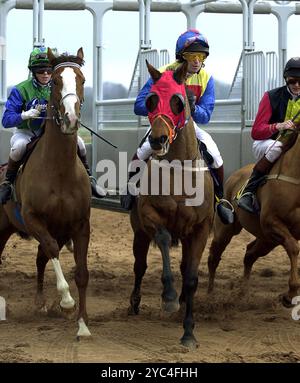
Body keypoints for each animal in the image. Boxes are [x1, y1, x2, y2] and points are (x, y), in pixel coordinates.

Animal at [0, 48, 91, 340]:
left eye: (82, 79)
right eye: (56, 81)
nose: (71, 119)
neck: (59, 171)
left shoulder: (78, 224)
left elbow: (81, 272)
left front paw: (82, 323)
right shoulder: (33, 219)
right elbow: (50, 250)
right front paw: (66, 301)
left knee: (41, 259)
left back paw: (40, 302)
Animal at [127, 60, 214, 352]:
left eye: (178, 101)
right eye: (151, 100)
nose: (157, 140)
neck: (179, 174)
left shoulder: (200, 229)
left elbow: (191, 277)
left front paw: (188, 332)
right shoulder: (149, 216)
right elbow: (164, 239)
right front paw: (168, 296)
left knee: (185, 268)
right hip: (139, 233)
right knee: (140, 266)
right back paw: (135, 303)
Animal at [207, 130, 300, 308]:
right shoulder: (271, 221)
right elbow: (293, 247)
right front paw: (291, 293)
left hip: (268, 240)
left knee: (249, 253)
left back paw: (243, 293)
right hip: (226, 229)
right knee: (214, 257)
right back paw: (209, 295)